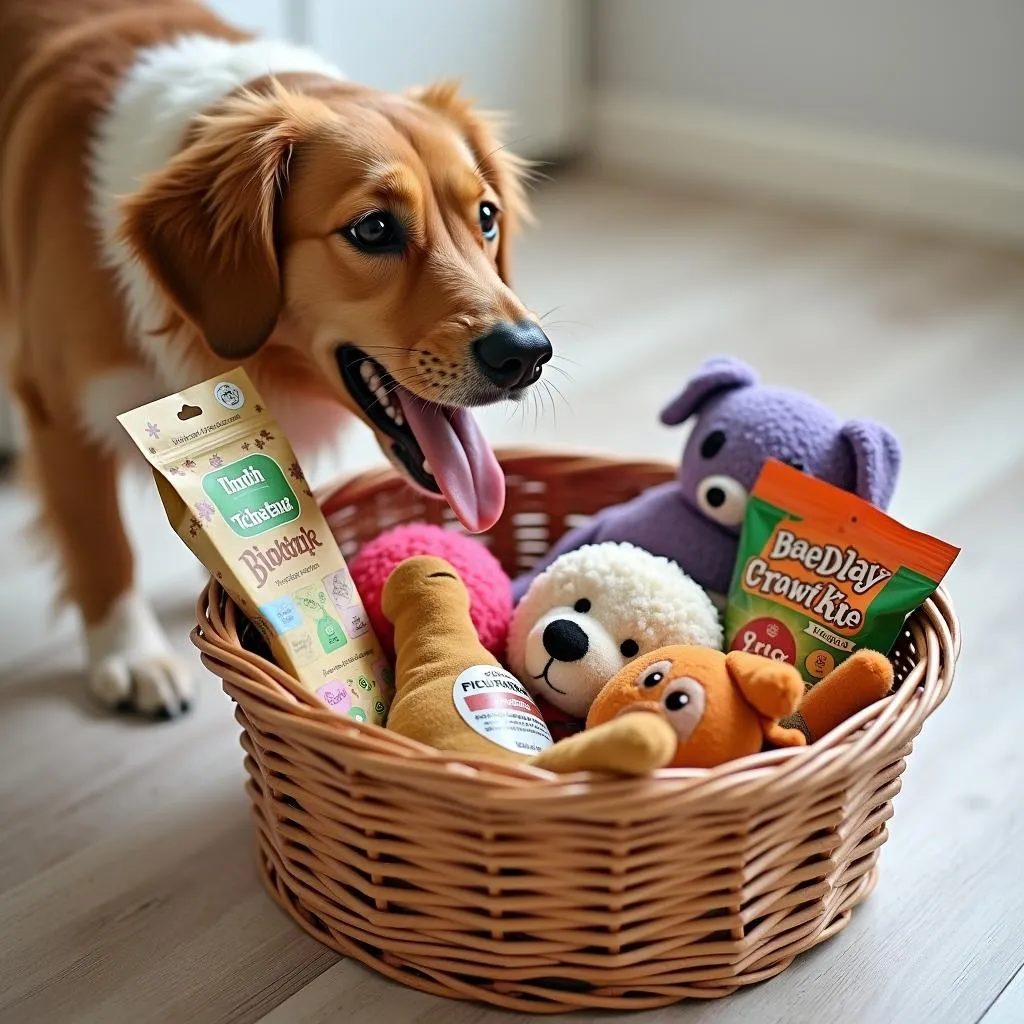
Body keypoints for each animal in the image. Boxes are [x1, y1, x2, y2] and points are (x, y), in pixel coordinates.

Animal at [0, 0, 552, 716]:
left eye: (486, 216)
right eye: (373, 228)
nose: (528, 354)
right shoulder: (56, 409)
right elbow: (101, 543)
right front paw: (131, 654)